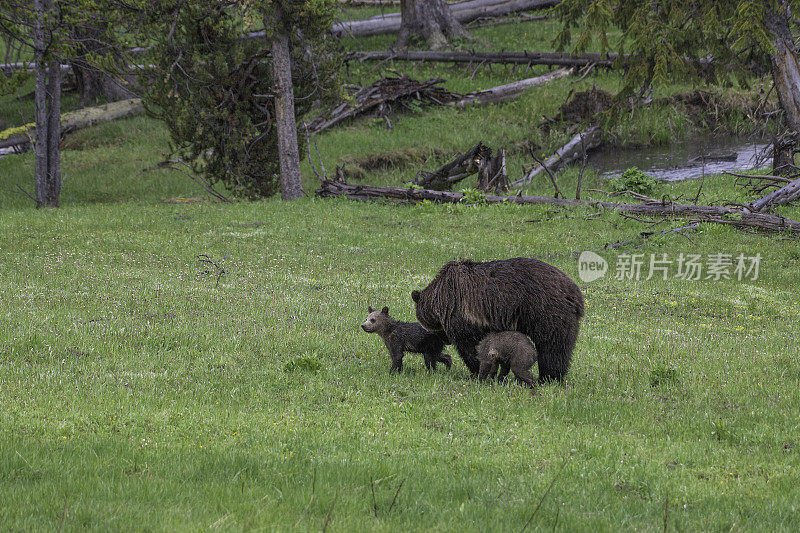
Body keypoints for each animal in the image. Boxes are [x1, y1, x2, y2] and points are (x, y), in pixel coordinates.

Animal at [412, 256, 580, 382]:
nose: (446, 340)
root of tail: (575, 292)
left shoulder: (463, 314)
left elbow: (470, 347)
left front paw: (476, 371)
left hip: (546, 311)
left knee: (552, 347)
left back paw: (549, 377)